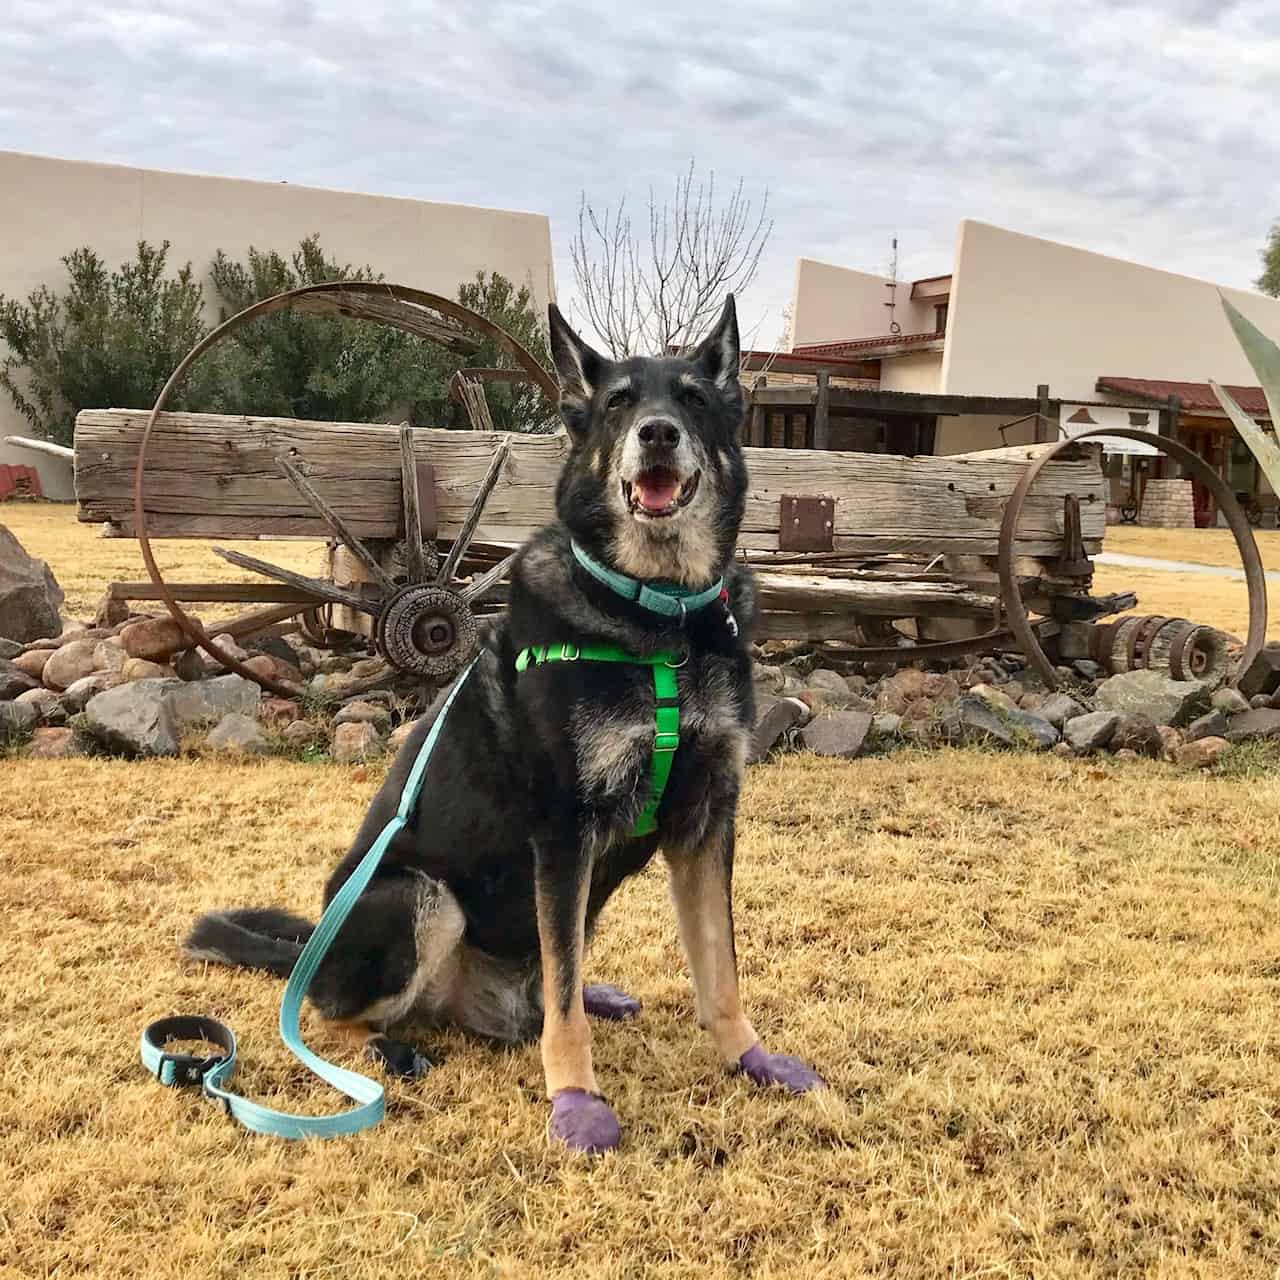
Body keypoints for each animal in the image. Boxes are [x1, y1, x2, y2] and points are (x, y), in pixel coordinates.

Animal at [185, 294, 824, 1157]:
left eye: (692, 398)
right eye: (619, 403)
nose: (657, 433)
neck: (658, 615)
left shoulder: (705, 823)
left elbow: (720, 967)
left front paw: (748, 1057)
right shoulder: (562, 832)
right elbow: (565, 1006)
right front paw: (577, 1100)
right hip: (417, 896)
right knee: (339, 1016)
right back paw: (389, 1051)